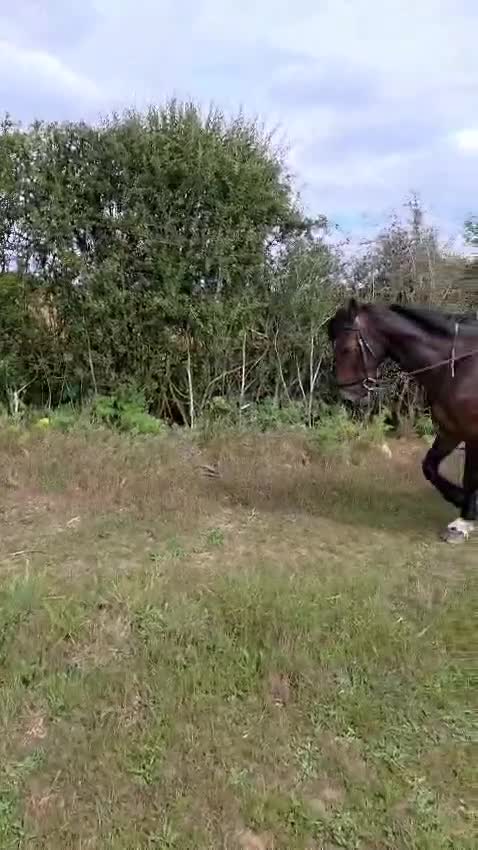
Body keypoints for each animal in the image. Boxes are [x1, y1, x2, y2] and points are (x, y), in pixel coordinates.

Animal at [328, 297, 478, 543]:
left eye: (346, 348)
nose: (348, 397)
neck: (459, 366)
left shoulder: (472, 433)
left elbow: (470, 477)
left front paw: (463, 523)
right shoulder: (450, 430)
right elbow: (429, 467)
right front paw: (459, 499)